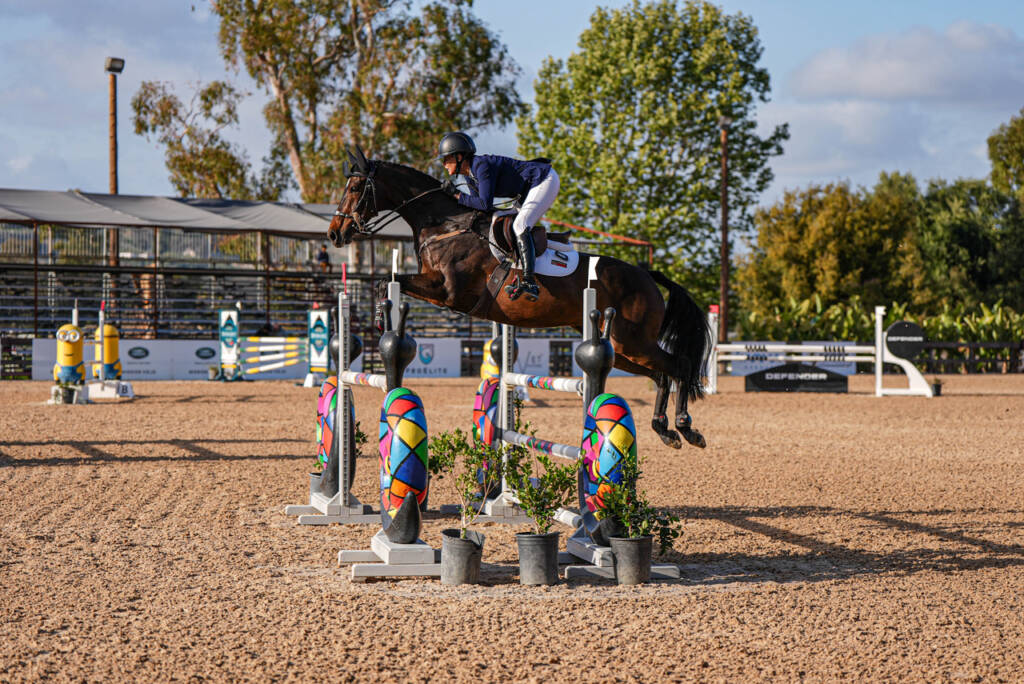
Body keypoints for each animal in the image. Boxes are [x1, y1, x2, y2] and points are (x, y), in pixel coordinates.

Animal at [327, 147, 711, 450]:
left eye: (356, 187)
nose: (334, 233)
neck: (445, 225)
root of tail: (647, 275)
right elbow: (387, 282)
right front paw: (382, 319)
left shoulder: (447, 292)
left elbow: (389, 281)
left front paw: (383, 320)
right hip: (620, 346)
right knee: (661, 375)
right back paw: (664, 429)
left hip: (633, 340)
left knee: (678, 366)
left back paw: (686, 428)